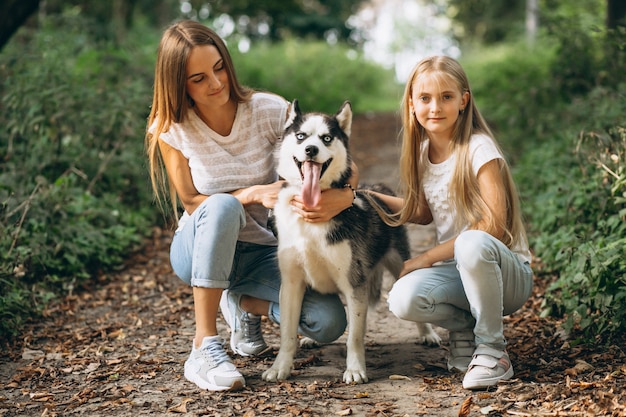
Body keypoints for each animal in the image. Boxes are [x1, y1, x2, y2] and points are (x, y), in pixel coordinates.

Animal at [260, 98, 438, 384]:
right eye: (301, 136)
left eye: (326, 138)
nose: (310, 149)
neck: (312, 216)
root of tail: (376, 187)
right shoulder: (291, 284)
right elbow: (287, 334)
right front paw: (280, 367)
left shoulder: (355, 284)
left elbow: (354, 336)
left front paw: (355, 369)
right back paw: (311, 339)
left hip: (398, 264)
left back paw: (427, 333)